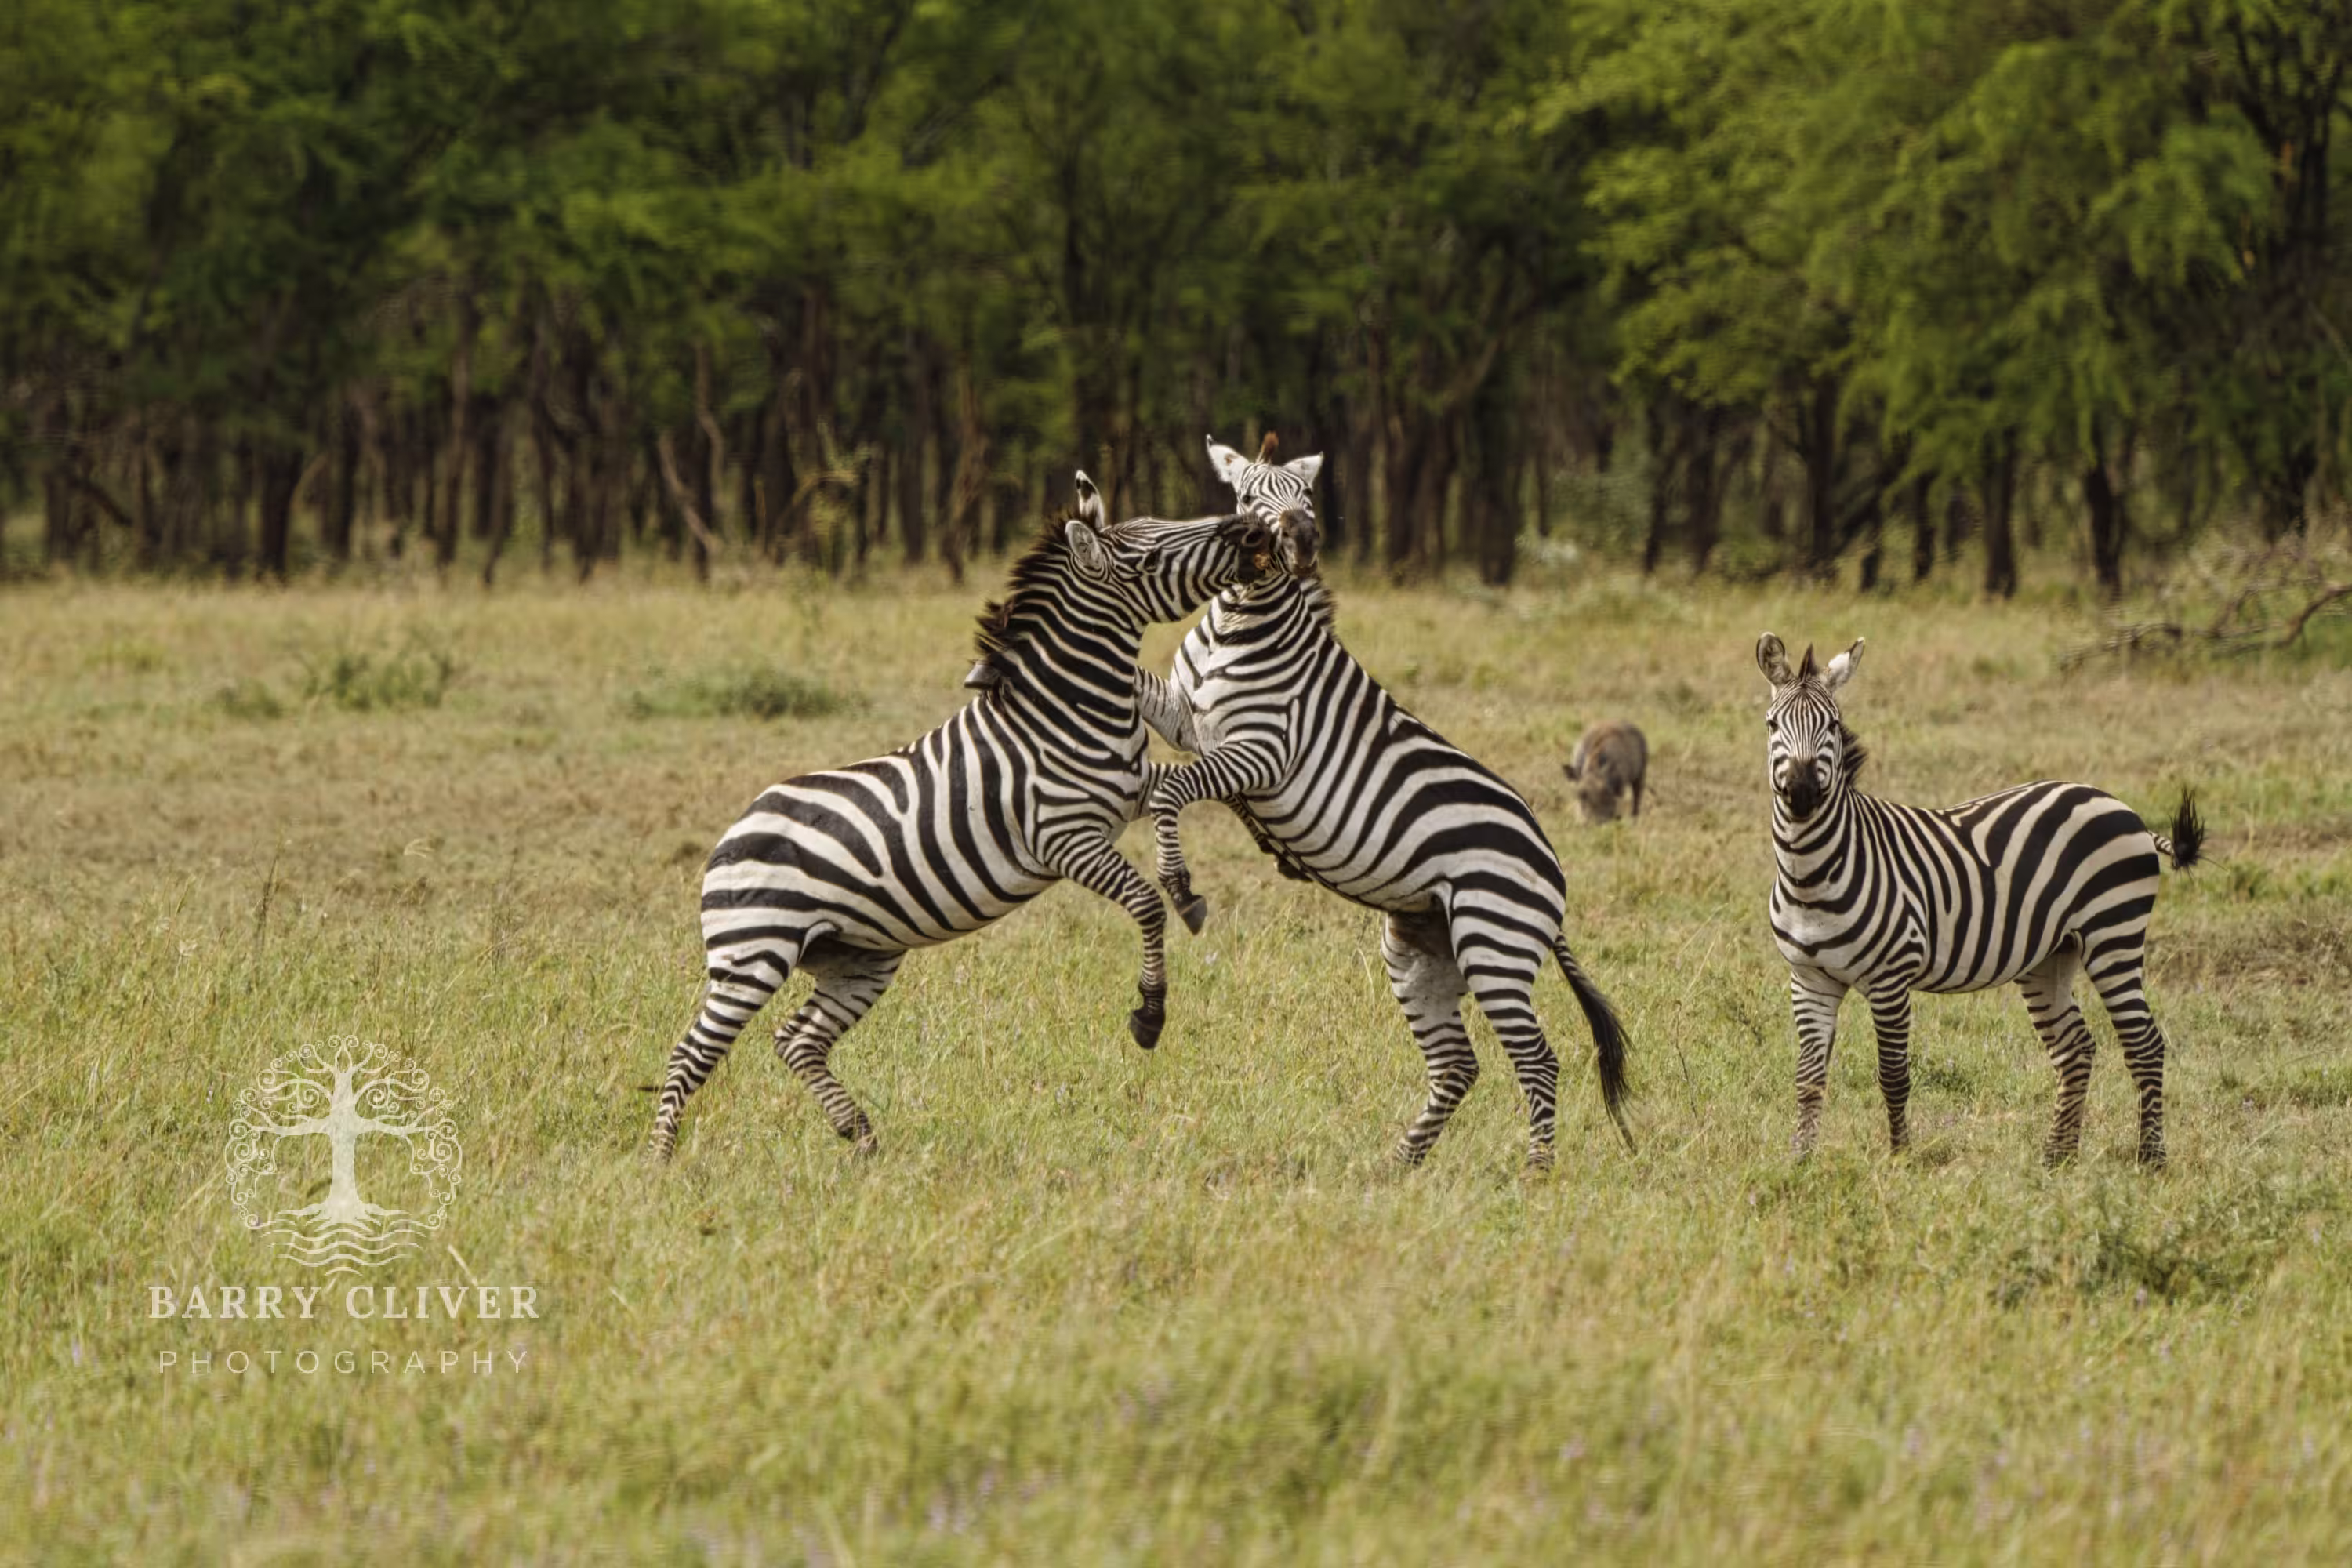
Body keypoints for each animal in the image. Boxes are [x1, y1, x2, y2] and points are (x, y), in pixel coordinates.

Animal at [645, 475, 1288, 1161]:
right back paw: (661, 1163)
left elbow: (1196, 794)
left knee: (797, 1041)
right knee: (690, 1054)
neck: (1067, 710)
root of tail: (733, 832)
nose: (1254, 532)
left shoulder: (1132, 789)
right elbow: (1145, 904)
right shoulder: (1065, 838)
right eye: (1149, 556)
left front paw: (1238, 858)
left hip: (859, 958)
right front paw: (1149, 1014)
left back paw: (861, 1138)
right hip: (754, 955)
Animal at [1135, 433, 1632, 1169]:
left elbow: (1172, 788)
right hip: (1421, 952)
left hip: (1493, 942)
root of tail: (1551, 866)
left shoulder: (1262, 752)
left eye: (1308, 497)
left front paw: (1182, 887)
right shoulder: (1183, 716)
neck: (1238, 624)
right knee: (1457, 1065)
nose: (1304, 539)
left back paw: (1537, 1172)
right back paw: (1399, 1165)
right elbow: (1138, 691)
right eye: (1249, 497)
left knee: (1538, 1060)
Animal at [1756, 633, 2204, 1166]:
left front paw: (1900, 1157)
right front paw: (1799, 1161)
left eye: (1833, 725)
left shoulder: (1890, 979)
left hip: (2113, 935)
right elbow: (1808, 1078)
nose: (1802, 794)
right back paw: (2057, 1157)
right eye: (1772, 724)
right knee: (2076, 1047)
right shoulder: (1809, 980)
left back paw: (2151, 1158)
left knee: (2144, 1044)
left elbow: (1893, 1075)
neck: (1812, 875)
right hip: (2051, 955)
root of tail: (2120, 806)